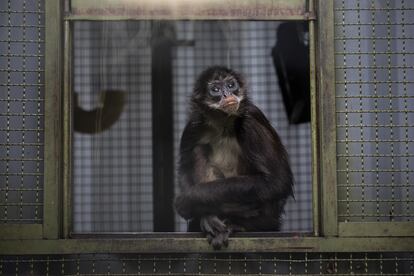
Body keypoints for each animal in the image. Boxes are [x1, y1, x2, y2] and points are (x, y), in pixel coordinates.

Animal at [175, 66, 294, 249]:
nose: (226, 94)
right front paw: (205, 214)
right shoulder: (194, 124)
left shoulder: (251, 117)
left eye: (231, 85)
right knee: (199, 149)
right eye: (216, 89)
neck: (223, 123)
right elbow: (183, 168)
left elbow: (278, 181)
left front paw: (189, 198)